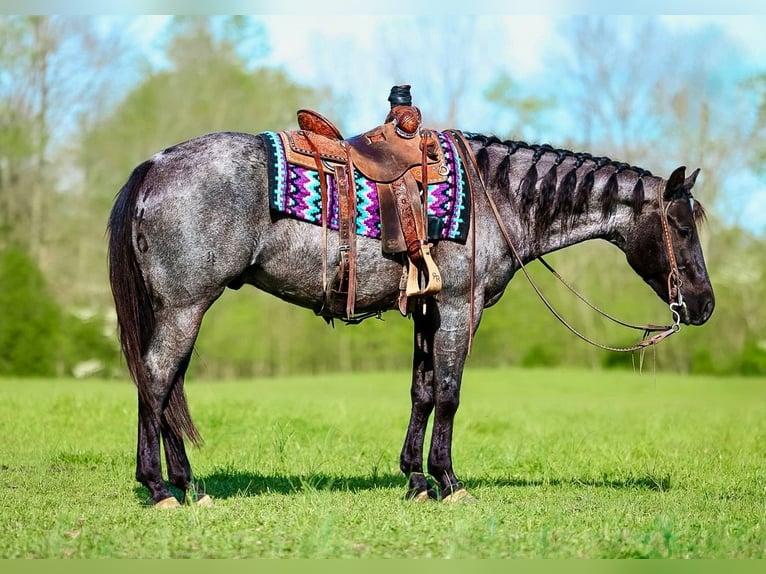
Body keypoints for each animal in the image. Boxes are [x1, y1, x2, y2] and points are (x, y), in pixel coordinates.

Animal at [108, 124, 714, 507]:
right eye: (682, 225)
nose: (704, 305)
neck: (496, 197)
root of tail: (154, 165)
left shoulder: (427, 310)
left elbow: (422, 392)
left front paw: (416, 479)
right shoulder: (459, 306)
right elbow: (449, 392)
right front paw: (449, 481)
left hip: (180, 309)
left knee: (166, 385)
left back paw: (188, 485)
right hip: (185, 306)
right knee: (156, 380)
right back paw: (159, 489)